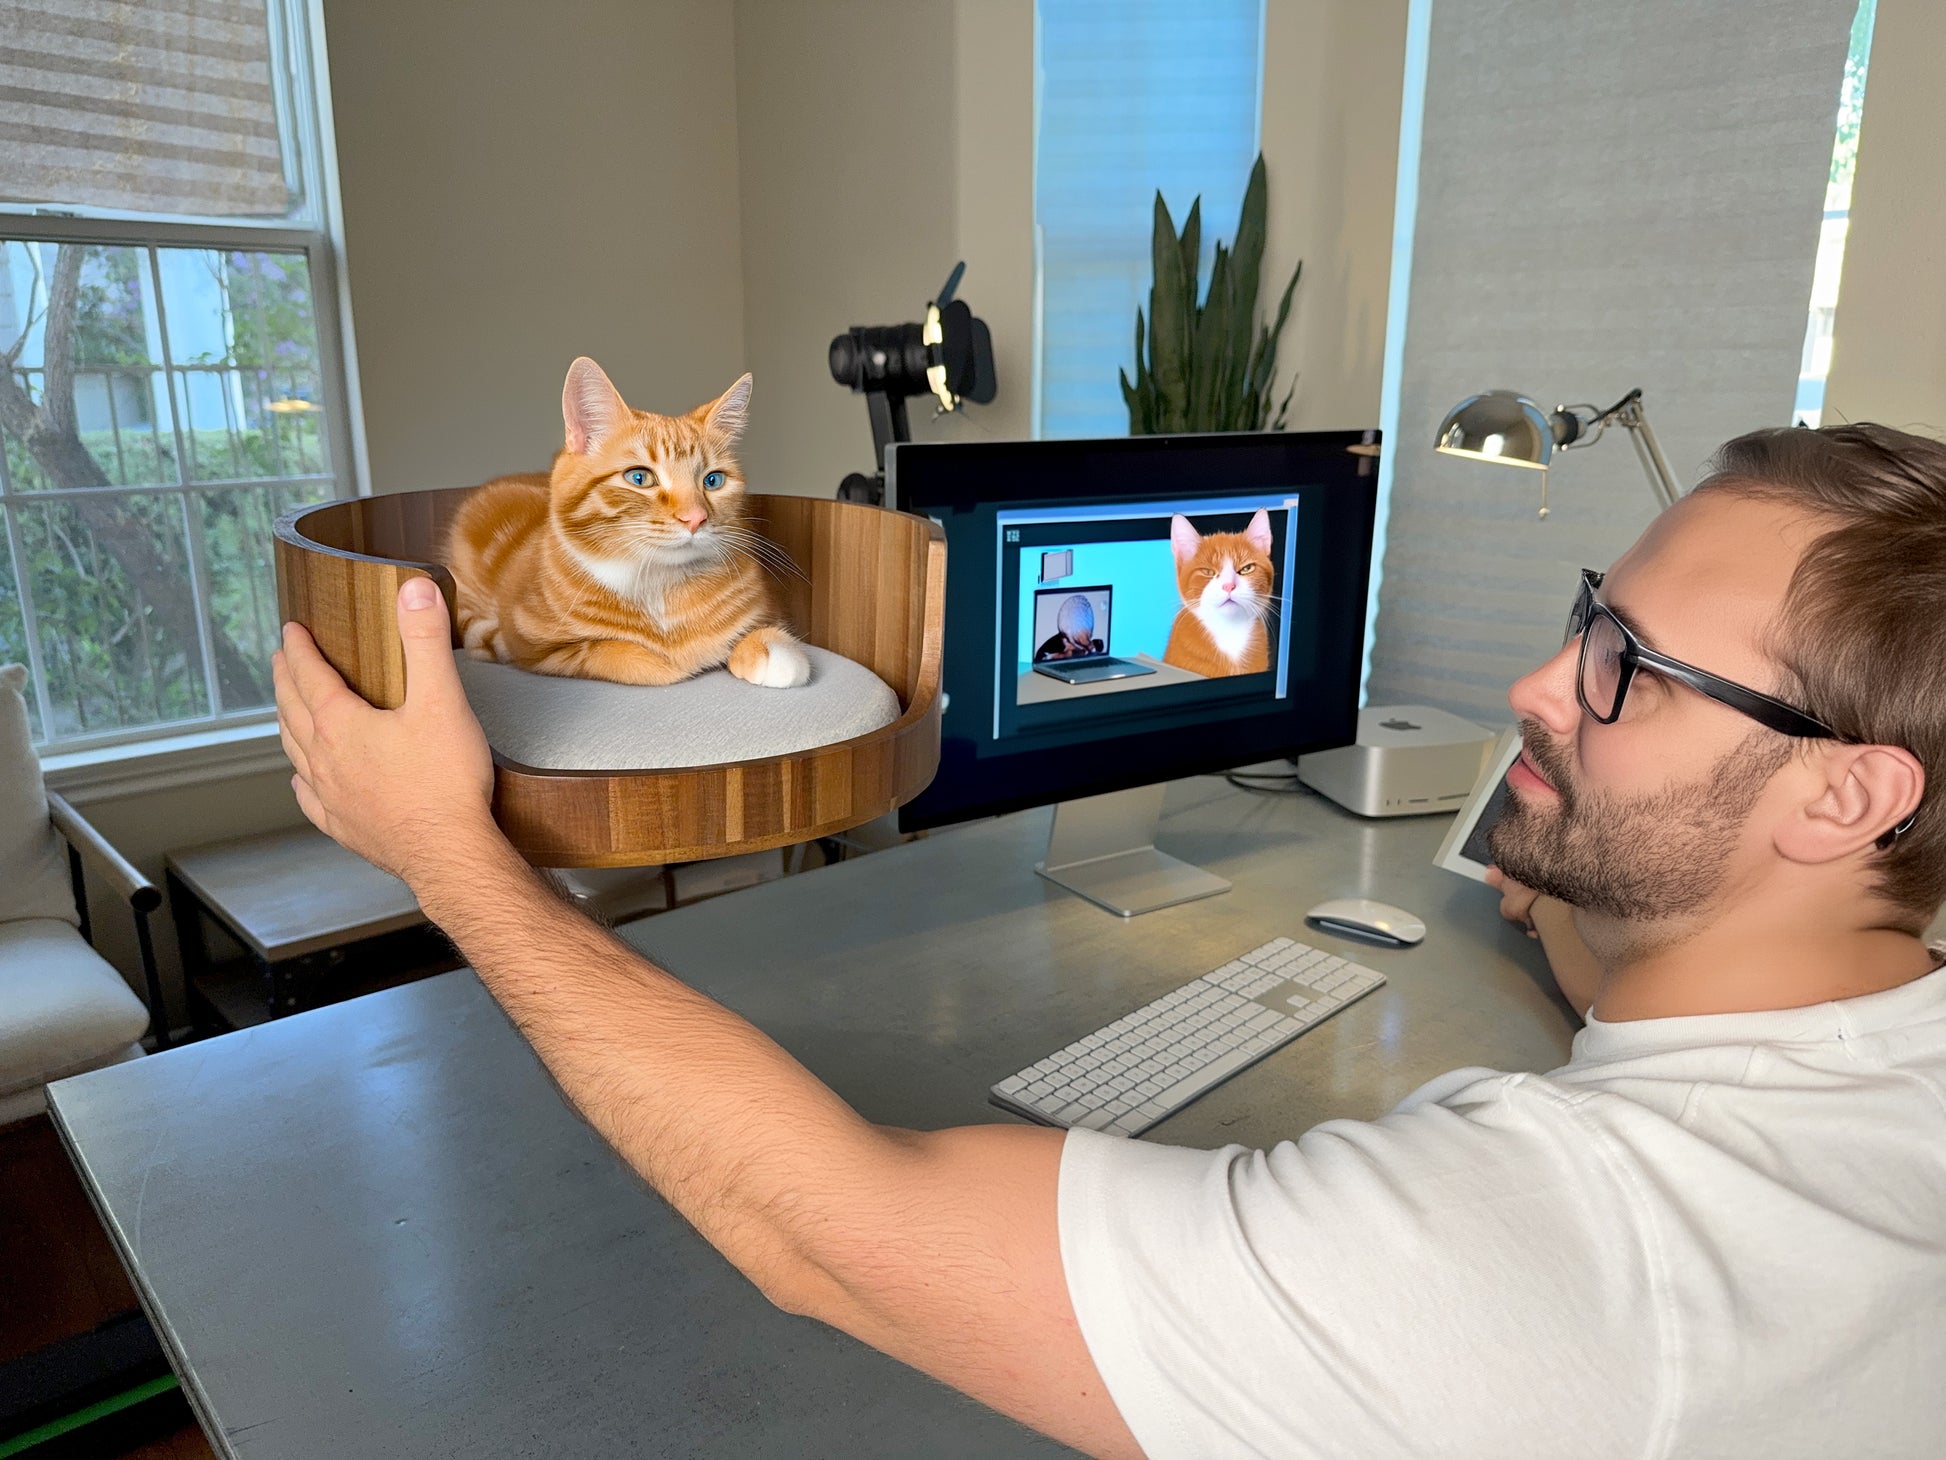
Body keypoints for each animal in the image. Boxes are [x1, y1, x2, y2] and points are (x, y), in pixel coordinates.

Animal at [445, 358, 809, 693]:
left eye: (713, 480)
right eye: (640, 478)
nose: (695, 518)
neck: (659, 584)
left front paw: (767, 646)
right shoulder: (536, 647)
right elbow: (620, 654)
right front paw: (674, 660)